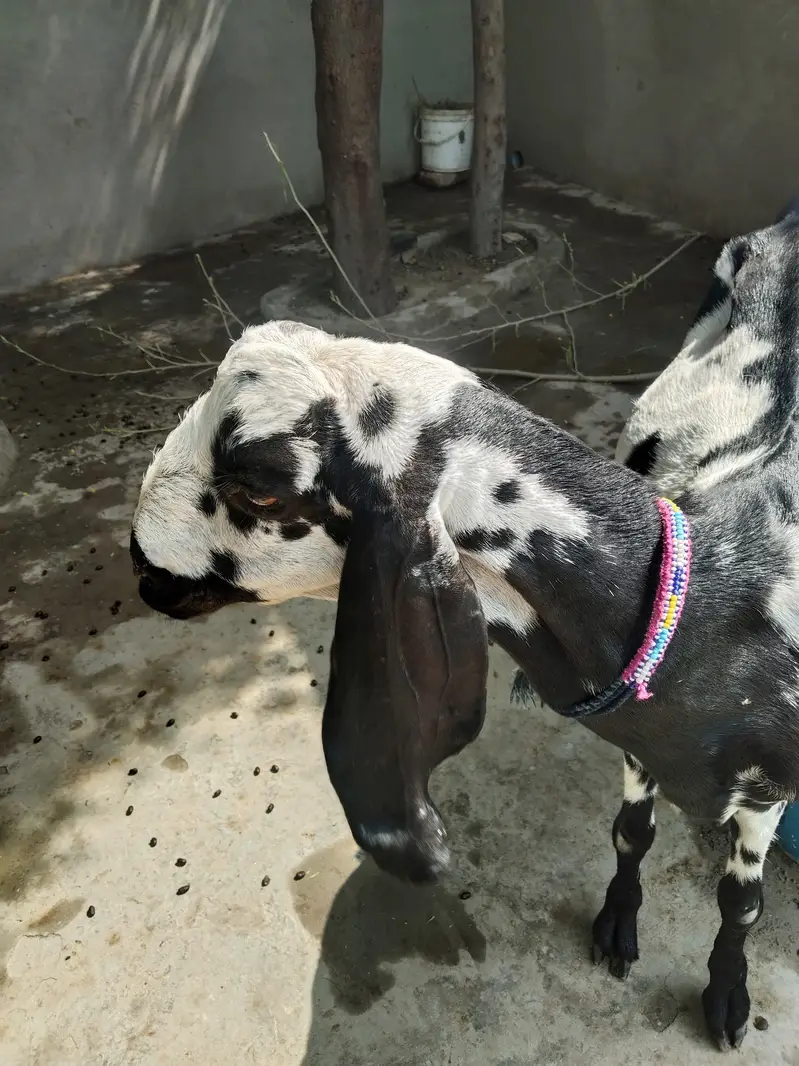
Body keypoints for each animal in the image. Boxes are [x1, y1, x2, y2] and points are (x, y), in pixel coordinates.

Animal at [131, 210, 799, 1050]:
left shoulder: (766, 791)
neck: (718, 604)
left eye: (260, 489)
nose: (138, 561)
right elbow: (628, 833)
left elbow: (740, 901)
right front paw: (616, 925)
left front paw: (726, 997)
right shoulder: (637, 742)